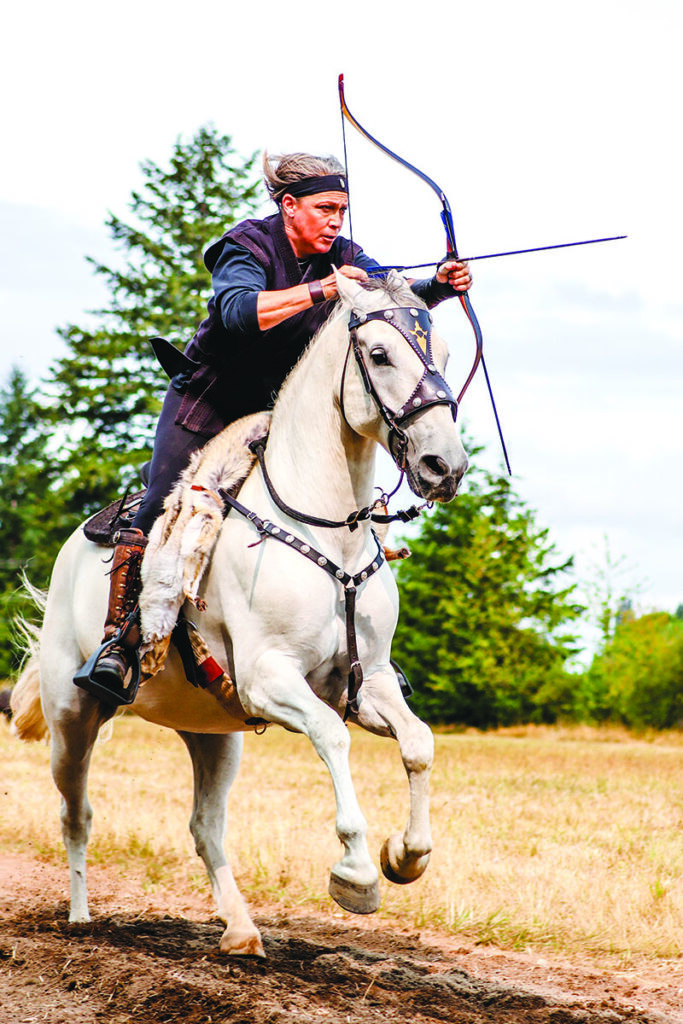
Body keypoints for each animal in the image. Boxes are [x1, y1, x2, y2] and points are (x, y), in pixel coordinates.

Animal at [12, 270, 471, 950]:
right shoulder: (268, 678)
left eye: (443, 355)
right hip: (72, 717)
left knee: (205, 826)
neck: (328, 532)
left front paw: (406, 855)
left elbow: (419, 742)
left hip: (212, 733)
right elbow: (333, 735)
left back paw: (240, 929)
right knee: (76, 813)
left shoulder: (369, 683)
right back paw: (80, 918)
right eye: (380, 354)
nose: (445, 466)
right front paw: (357, 873)